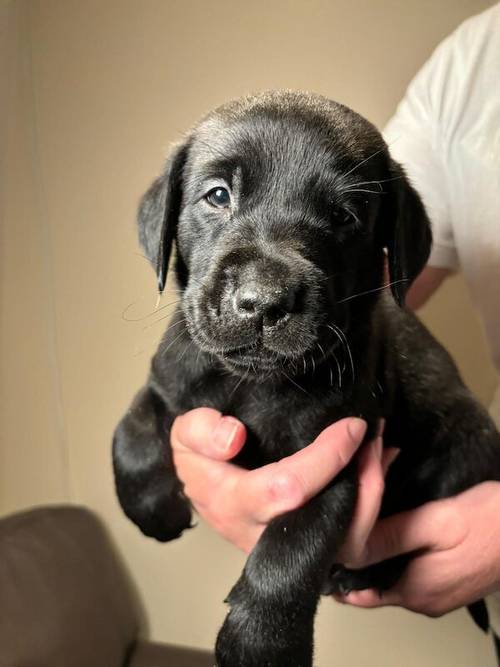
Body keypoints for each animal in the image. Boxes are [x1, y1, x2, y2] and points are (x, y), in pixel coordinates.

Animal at [112, 90, 500, 667]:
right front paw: (153, 508)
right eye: (217, 195)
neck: (253, 384)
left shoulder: (333, 467)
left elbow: (288, 555)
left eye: (344, 216)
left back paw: (360, 571)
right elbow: (132, 429)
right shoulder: (175, 382)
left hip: (462, 441)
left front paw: (260, 643)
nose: (264, 301)